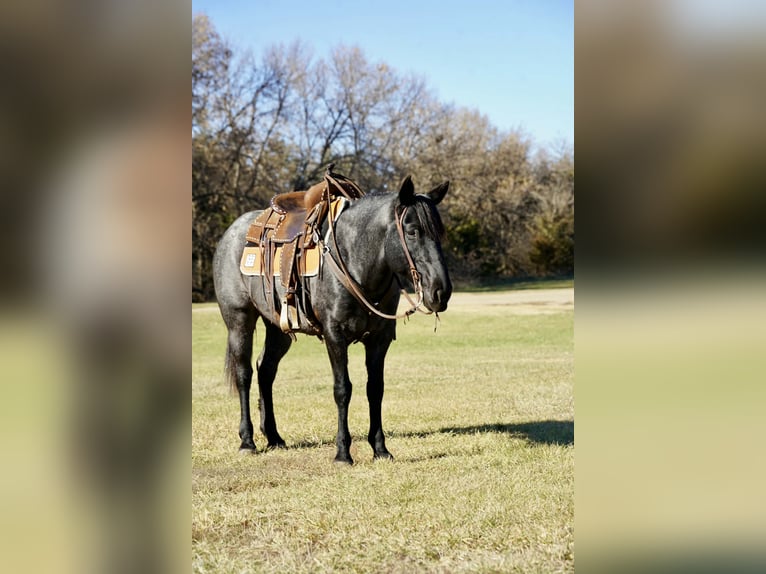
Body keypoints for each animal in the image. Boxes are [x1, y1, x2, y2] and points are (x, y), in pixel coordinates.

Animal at [212, 174, 452, 464]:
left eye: (440, 232)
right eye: (413, 231)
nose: (441, 291)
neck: (356, 261)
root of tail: (231, 232)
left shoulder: (380, 340)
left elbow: (376, 389)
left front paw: (380, 449)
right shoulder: (334, 336)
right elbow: (342, 389)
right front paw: (343, 453)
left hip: (278, 328)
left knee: (265, 370)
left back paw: (274, 437)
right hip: (239, 320)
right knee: (244, 373)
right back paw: (247, 440)